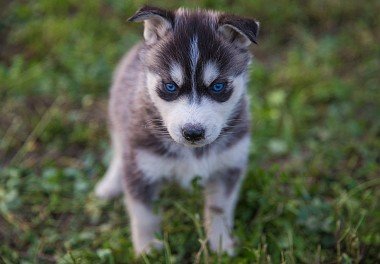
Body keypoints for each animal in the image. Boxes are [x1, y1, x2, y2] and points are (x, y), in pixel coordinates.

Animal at [95, 5, 258, 256]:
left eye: (218, 86)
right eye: (170, 86)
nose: (193, 132)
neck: (192, 152)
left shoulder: (229, 165)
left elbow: (219, 209)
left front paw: (220, 243)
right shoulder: (141, 168)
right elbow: (144, 216)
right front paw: (147, 249)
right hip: (118, 117)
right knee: (119, 151)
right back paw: (110, 185)